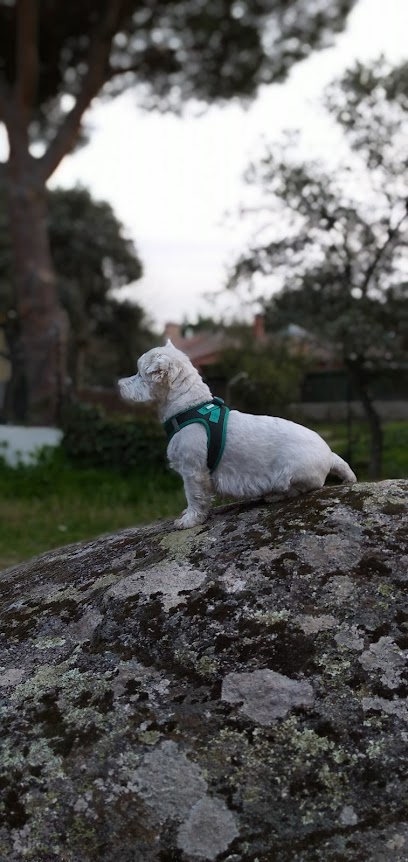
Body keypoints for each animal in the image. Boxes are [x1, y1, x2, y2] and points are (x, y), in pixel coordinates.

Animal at [117, 340, 354, 528]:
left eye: (139, 374)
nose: (119, 384)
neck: (188, 407)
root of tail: (330, 454)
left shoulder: (193, 470)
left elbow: (194, 496)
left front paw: (188, 521)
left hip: (295, 473)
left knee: (300, 489)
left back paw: (274, 495)